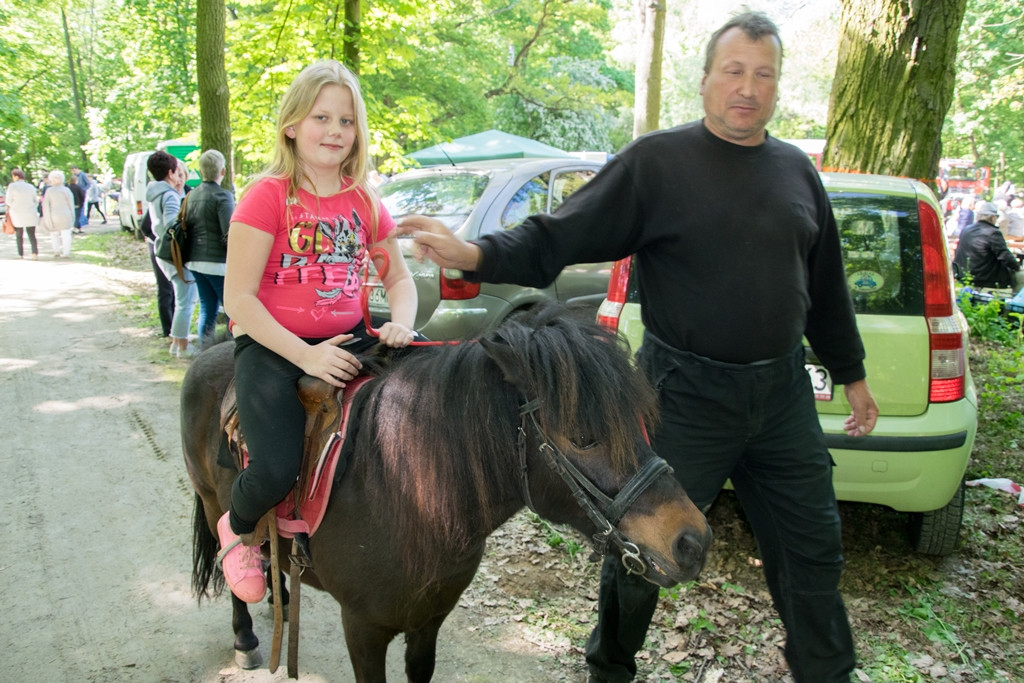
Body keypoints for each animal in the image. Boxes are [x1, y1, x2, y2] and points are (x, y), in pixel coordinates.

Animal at [182, 305, 712, 683]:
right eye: (584, 437)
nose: (694, 541)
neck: (405, 493)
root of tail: (212, 348)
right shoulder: (363, 628)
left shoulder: (428, 623)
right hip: (211, 501)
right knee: (231, 550)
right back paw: (247, 635)